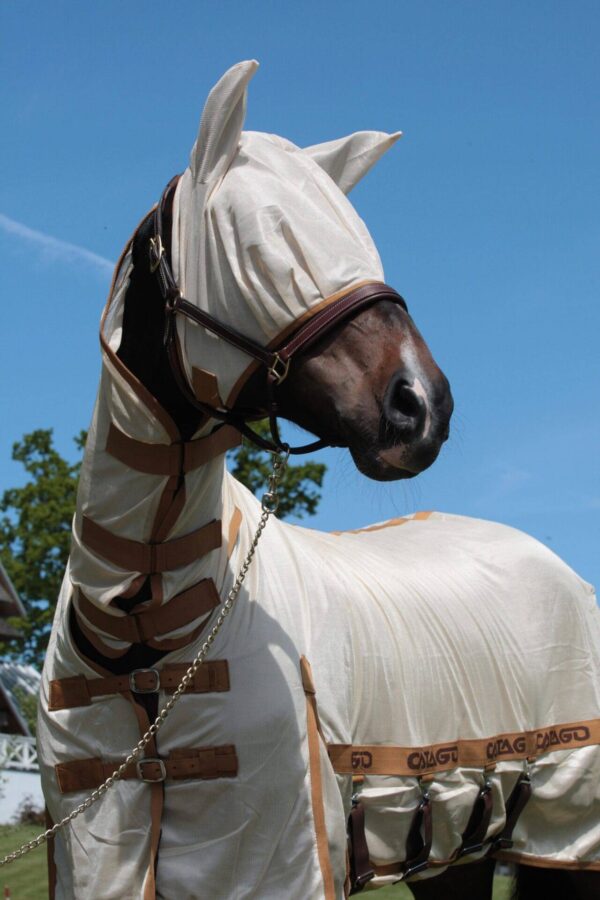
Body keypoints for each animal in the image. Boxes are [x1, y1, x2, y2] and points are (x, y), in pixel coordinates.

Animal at [38, 59, 600, 896]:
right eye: (261, 240)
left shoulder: (267, 860)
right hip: (461, 850)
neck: (140, 622)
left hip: (567, 831)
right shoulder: (96, 852)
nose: (422, 407)